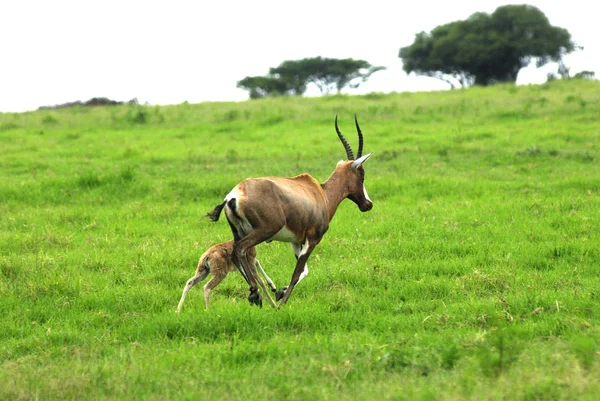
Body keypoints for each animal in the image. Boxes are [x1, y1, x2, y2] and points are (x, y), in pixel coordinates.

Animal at [209, 114, 372, 308]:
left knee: (235, 253)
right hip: (263, 231)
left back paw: (256, 294)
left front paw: (280, 292)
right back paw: (255, 293)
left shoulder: (296, 241)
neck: (320, 193)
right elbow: (298, 272)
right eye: (362, 174)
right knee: (241, 249)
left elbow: (304, 271)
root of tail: (233, 196)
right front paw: (281, 303)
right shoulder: (313, 239)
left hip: (238, 232)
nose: (367, 204)